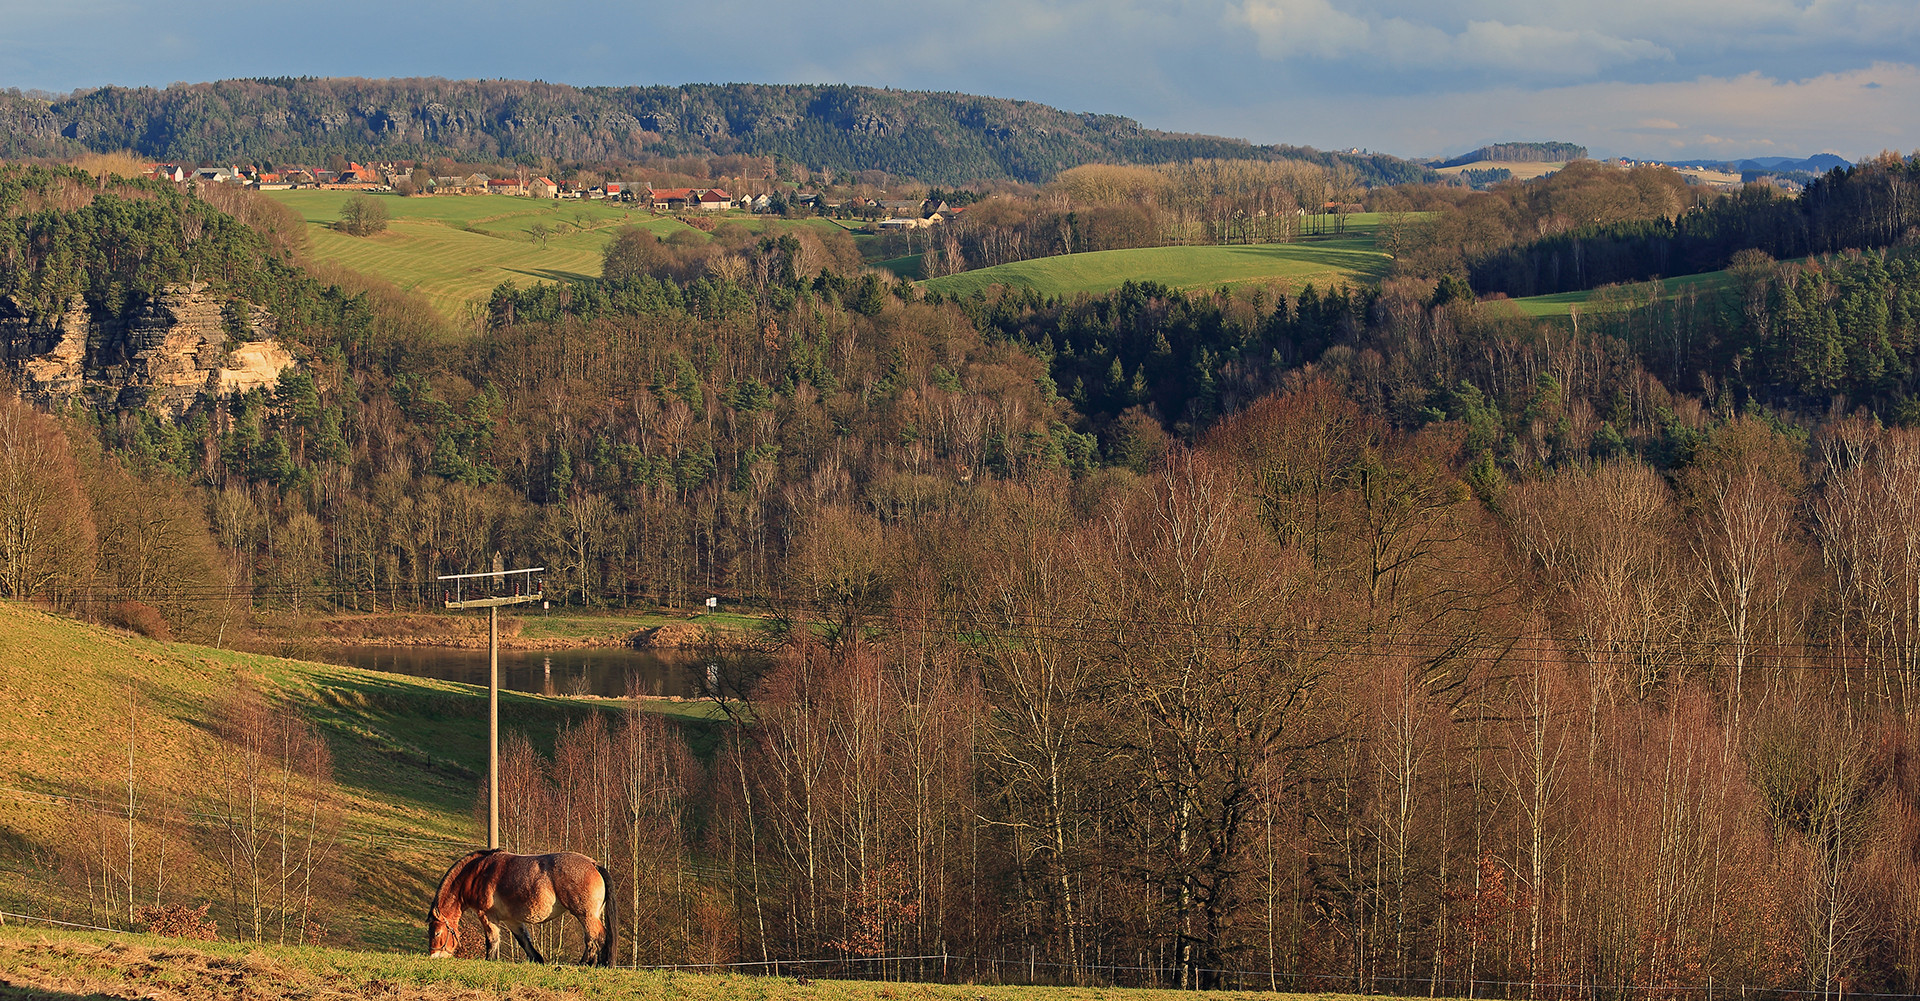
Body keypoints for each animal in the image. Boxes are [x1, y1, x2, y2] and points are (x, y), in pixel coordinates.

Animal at [428, 845, 614, 964]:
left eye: (437, 933)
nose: (434, 956)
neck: (478, 872)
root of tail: (593, 864)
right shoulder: (511, 920)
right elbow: (524, 940)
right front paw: (537, 960)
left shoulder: (486, 915)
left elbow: (492, 939)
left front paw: (489, 960)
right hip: (589, 915)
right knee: (591, 939)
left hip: (585, 915)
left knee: (598, 937)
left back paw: (590, 964)